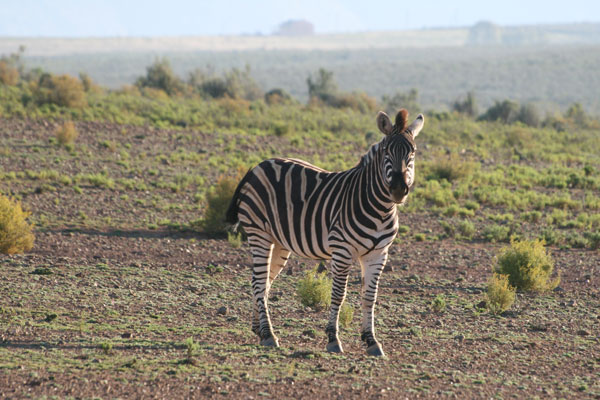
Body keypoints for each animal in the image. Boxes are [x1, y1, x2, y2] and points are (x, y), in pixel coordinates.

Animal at [226, 109, 426, 356]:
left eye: (413, 152)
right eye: (387, 151)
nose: (398, 189)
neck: (380, 208)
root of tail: (257, 166)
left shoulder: (378, 254)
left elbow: (370, 297)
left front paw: (371, 341)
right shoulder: (342, 250)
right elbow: (338, 295)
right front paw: (333, 339)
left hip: (279, 241)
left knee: (262, 282)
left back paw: (259, 330)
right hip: (258, 233)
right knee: (259, 282)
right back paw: (269, 334)